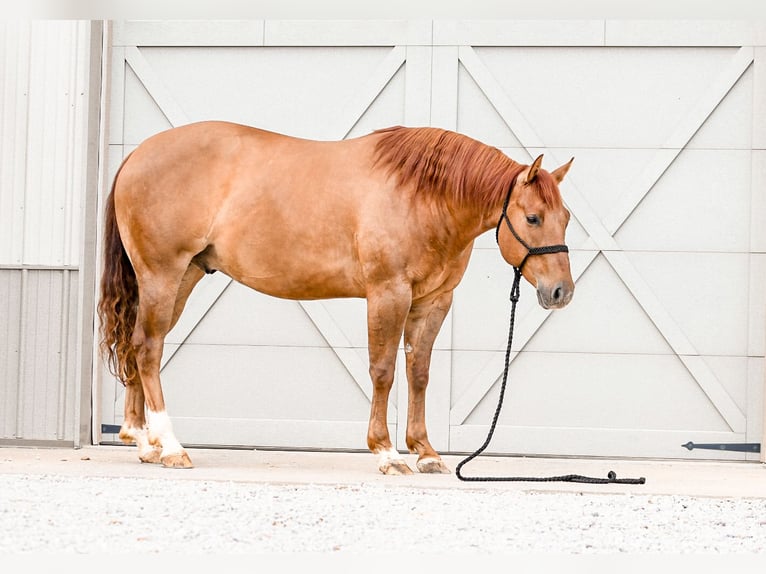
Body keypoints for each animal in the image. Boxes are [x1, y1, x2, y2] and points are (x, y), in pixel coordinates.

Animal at [97, 121, 575, 475]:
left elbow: (418, 373)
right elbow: (383, 371)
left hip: (183, 277)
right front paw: (386, 452)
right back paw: (170, 446)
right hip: (162, 275)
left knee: (138, 345)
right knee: (149, 348)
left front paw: (425, 452)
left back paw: (144, 443)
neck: (422, 196)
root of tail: (136, 156)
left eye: (566, 217)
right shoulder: (388, 293)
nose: (561, 292)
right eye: (533, 218)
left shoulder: (434, 302)